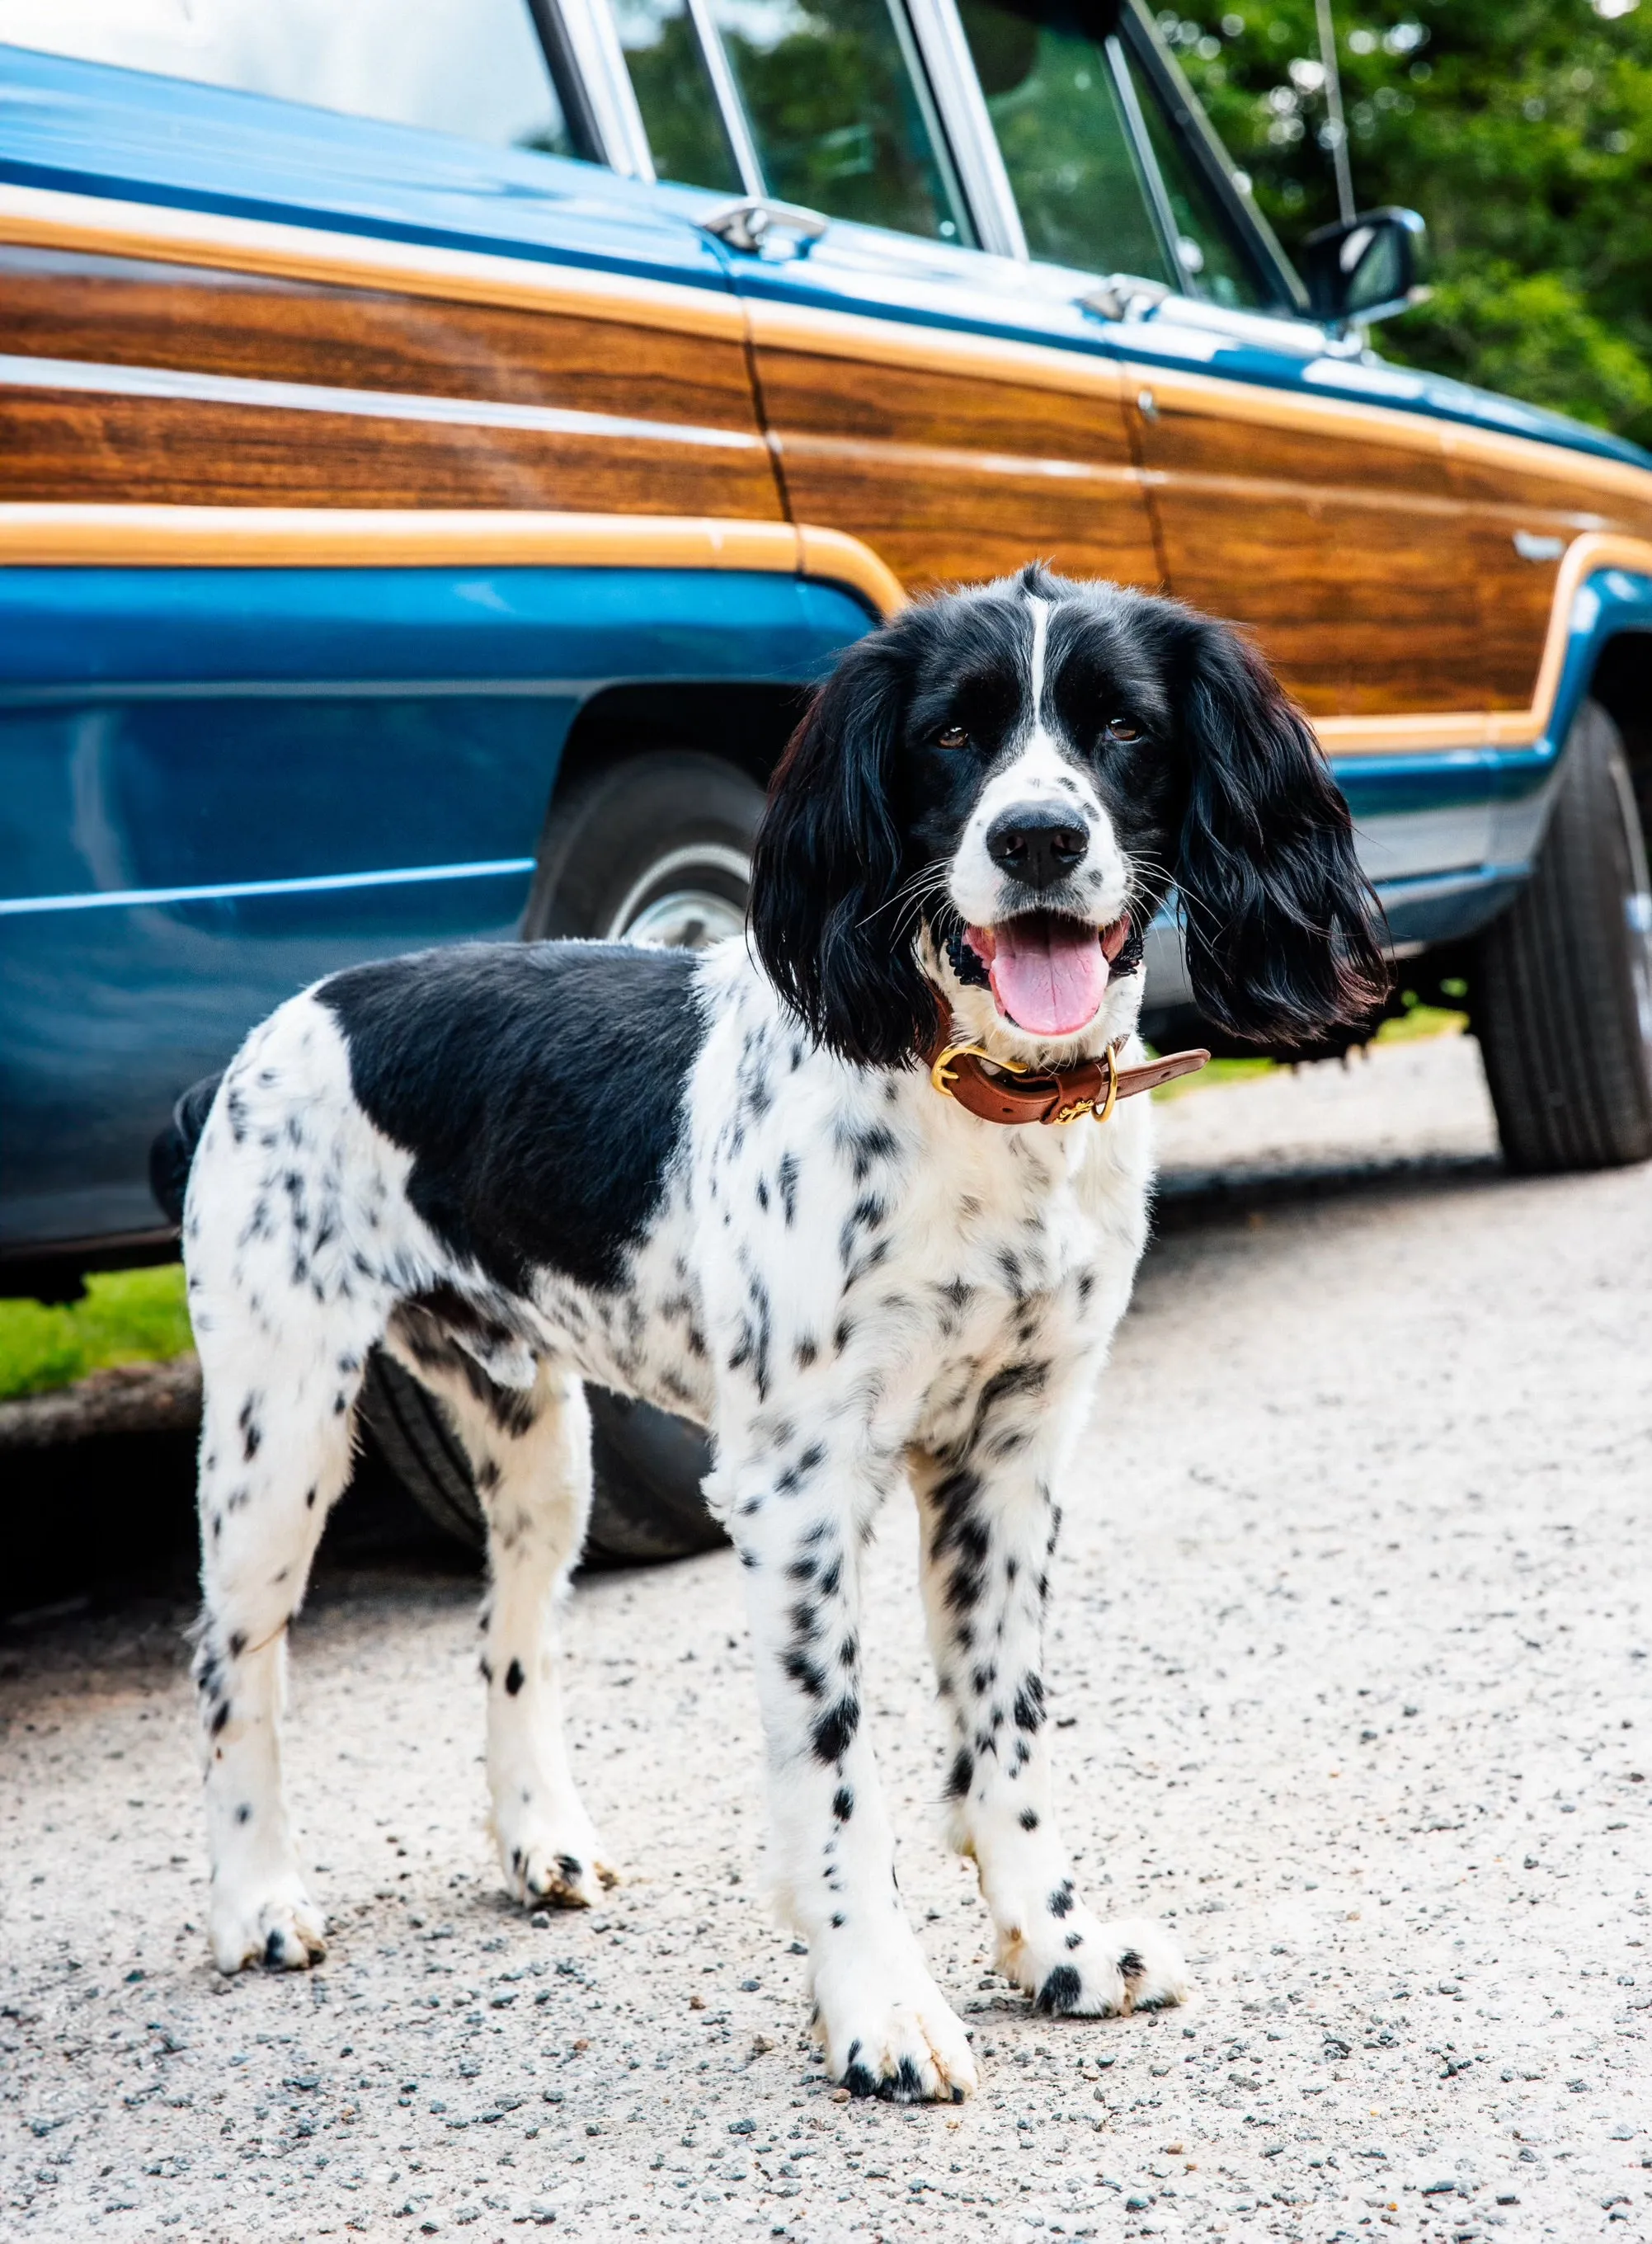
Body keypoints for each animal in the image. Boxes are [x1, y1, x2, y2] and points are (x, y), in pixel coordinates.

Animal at [170, 565, 1382, 2100]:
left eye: (1123, 727)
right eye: (948, 734)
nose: (1037, 839)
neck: (975, 1109)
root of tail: (254, 1044)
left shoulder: (1010, 1458)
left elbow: (1005, 1737)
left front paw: (1053, 1947)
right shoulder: (797, 1486)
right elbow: (836, 1776)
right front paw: (878, 2011)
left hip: (535, 1446)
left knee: (510, 1636)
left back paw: (537, 1845)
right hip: (277, 1438)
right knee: (234, 1665)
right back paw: (254, 1901)